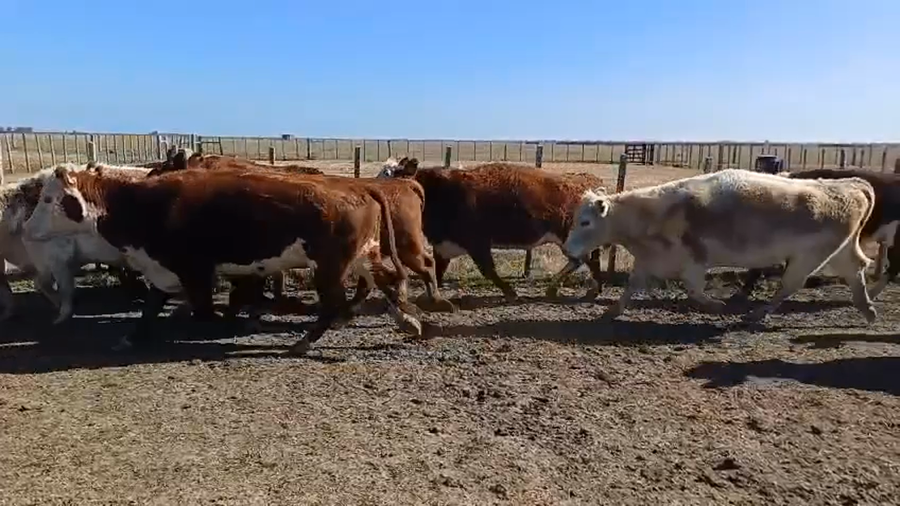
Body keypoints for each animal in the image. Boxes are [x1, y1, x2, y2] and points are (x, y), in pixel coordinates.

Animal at [23, 165, 422, 355]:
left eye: (49, 199)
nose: (26, 229)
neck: (141, 205)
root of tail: (358, 186)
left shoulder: (194, 271)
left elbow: (202, 309)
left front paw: (228, 323)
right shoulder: (163, 269)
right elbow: (150, 307)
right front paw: (131, 338)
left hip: (329, 266)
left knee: (334, 303)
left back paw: (304, 342)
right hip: (362, 255)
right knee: (385, 281)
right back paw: (409, 322)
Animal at [377, 157, 606, 301]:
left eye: (390, 176)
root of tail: (587, 184)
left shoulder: (477, 243)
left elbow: (488, 270)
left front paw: (510, 293)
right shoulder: (445, 244)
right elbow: (437, 270)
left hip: (568, 238)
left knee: (584, 260)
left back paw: (576, 289)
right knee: (585, 260)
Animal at [563, 168, 878, 324]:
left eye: (585, 222)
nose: (567, 249)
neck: (655, 214)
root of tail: (851, 186)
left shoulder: (693, 264)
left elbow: (694, 291)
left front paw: (717, 305)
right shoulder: (649, 261)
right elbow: (631, 287)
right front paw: (611, 312)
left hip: (808, 258)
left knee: (790, 285)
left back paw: (757, 314)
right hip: (839, 252)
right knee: (856, 269)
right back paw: (868, 310)